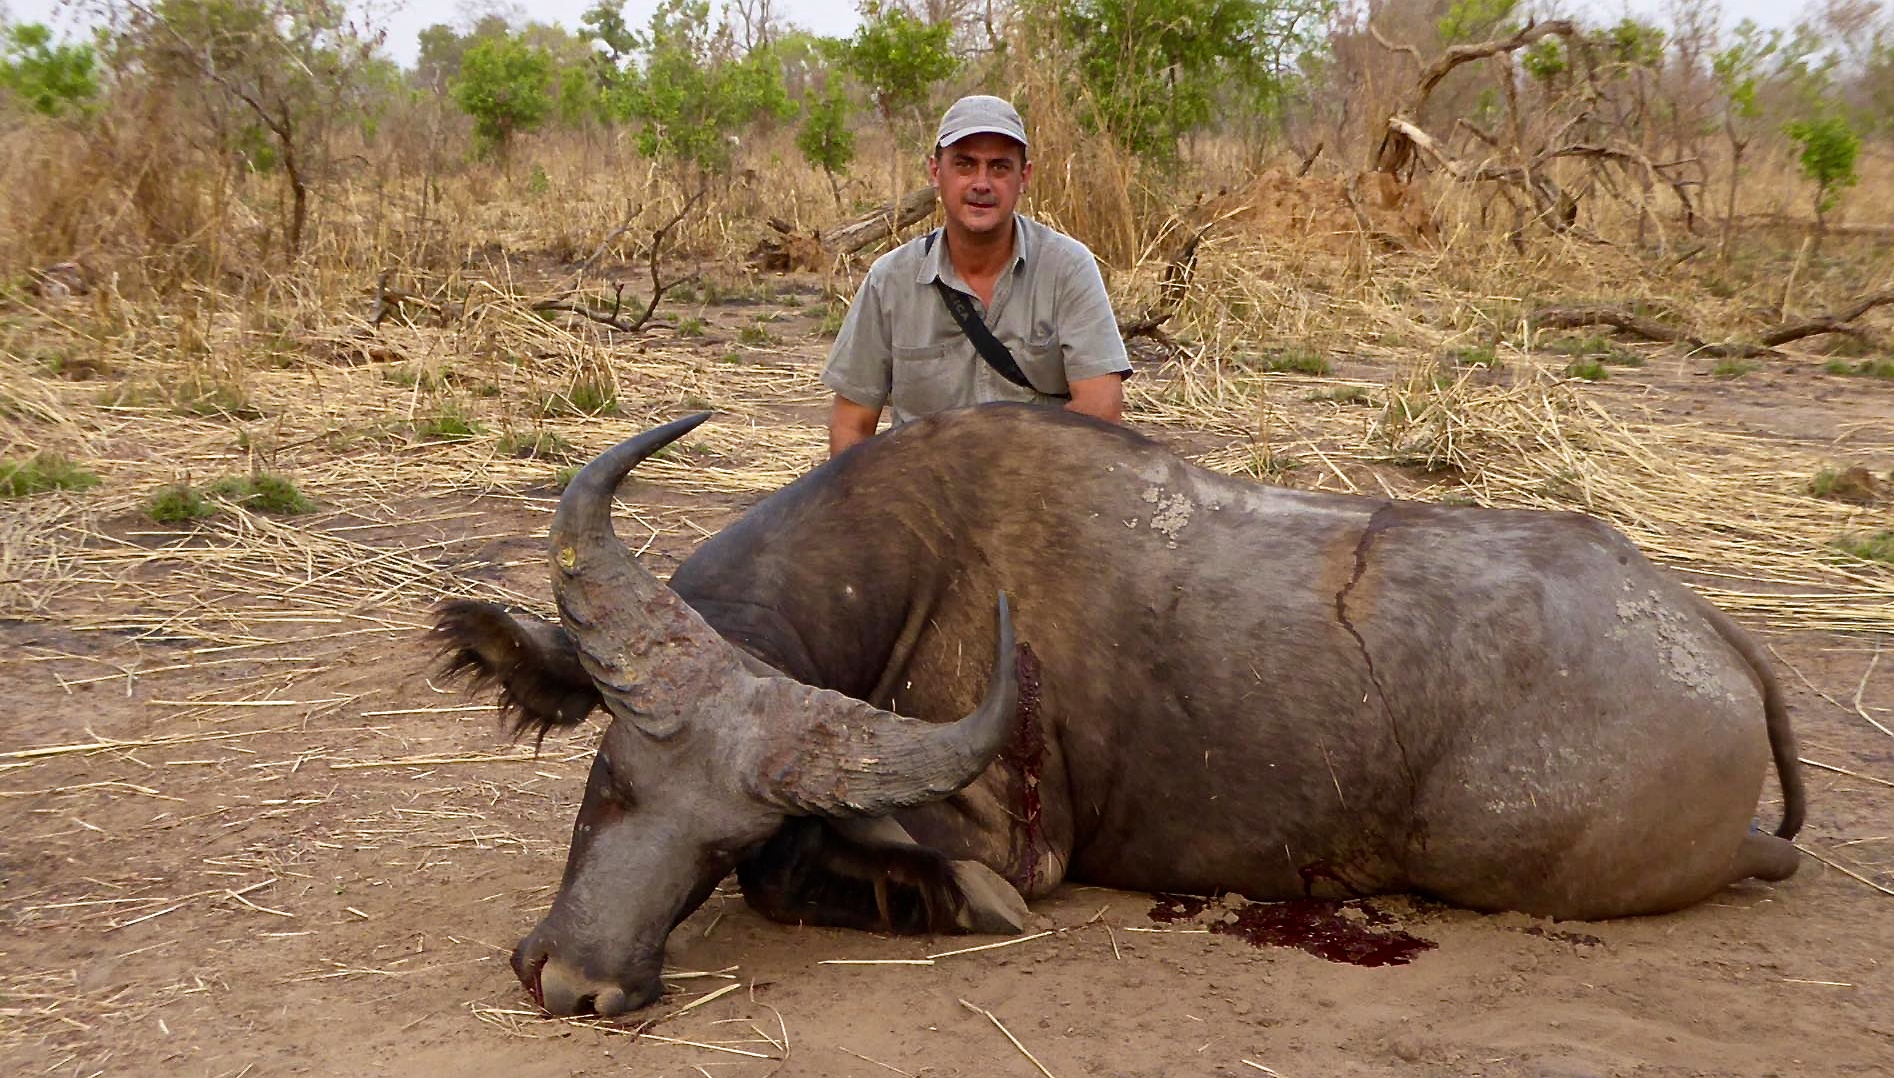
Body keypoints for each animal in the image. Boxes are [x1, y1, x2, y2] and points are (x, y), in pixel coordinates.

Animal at [433, 403, 1803, 1015]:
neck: (920, 561)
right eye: (609, 778)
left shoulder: (1011, 845)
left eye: (725, 844)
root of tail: (1707, 631)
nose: (576, 982)